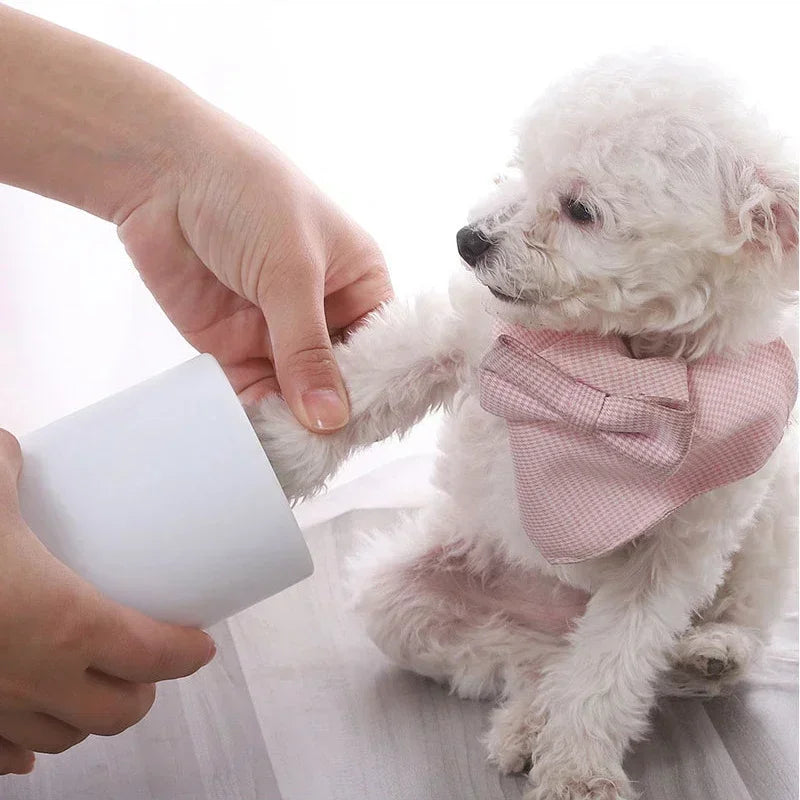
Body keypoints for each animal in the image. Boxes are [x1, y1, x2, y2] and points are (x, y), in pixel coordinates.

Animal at [247, 56, 796, 800]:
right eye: (521, 168)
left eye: (581, 210)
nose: (469, 239)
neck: (619, 370)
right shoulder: (464, 332)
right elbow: (372, 380)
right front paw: (273, 454)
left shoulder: (679, 549)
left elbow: (611, 663)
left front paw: (579, 770)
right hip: (405, 599)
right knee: (529, 656)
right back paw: (527, 718)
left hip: (773, 521)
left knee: (669, 633)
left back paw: (711, 652)